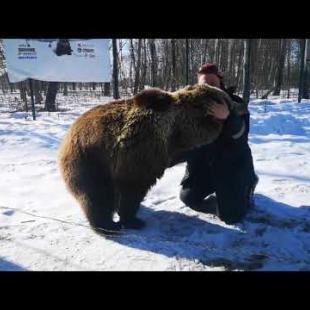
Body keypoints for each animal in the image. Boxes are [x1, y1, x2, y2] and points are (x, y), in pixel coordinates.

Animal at [57, 83, 235, 234]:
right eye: (225, 98)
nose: (234, 104)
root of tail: (66, 140)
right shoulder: (139, 154)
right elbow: (132, 190)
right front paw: (133, 220)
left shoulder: (169, 151)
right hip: (90, 162)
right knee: (97, 196)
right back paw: (107, 225)